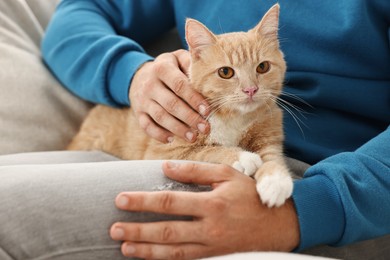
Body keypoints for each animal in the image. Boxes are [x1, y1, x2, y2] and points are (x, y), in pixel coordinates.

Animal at [68, 4, 292, 207]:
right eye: (226, 72)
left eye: (263, 67)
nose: (250, 89)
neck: (233, 118)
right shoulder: (161, 152)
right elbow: (205, 151)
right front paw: (242, 156)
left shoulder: (269, 135)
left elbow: (272, 157)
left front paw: (276, 181)